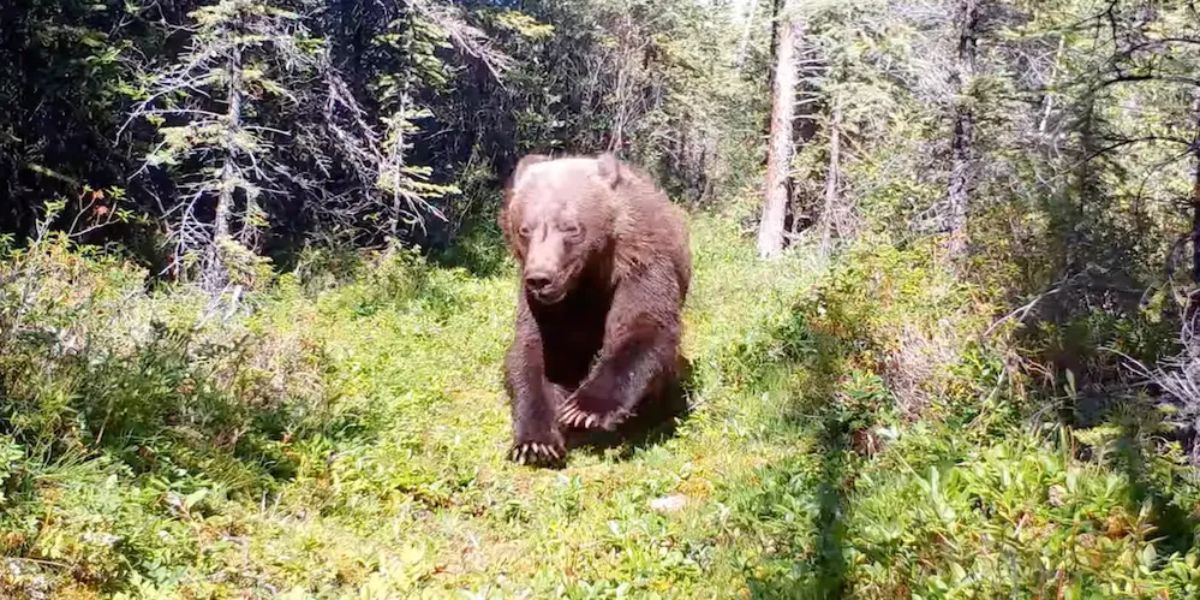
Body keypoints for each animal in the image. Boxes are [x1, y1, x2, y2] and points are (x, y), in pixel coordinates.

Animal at [498, 152, 691, 466]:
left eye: (571, 228)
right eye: (525, 229)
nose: (541, 278)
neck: (588, 276)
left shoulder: (639, 264)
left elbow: (643, 327)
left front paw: (584, 409)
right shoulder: (548, 306)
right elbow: (538, 353)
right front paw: (536, 444)